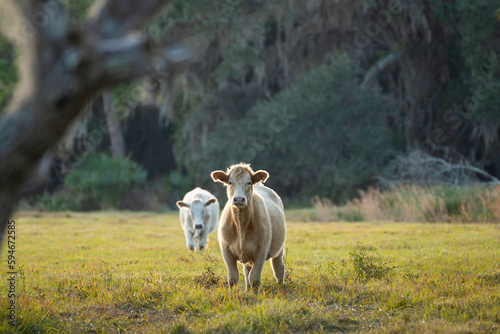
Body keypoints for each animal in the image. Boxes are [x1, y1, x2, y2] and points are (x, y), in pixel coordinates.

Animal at [210, 164, 286, 292]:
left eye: (249, 182)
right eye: (230, 182)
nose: (239, 199)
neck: (241, 226)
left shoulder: (262, 250)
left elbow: (254, 278)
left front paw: (254, 295)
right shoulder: (226, 250)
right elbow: (233, 278)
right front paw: (233, 295)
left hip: (279, 249)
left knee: (278, 268)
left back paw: (281, 288)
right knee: (247, 273)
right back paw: (247, 290)